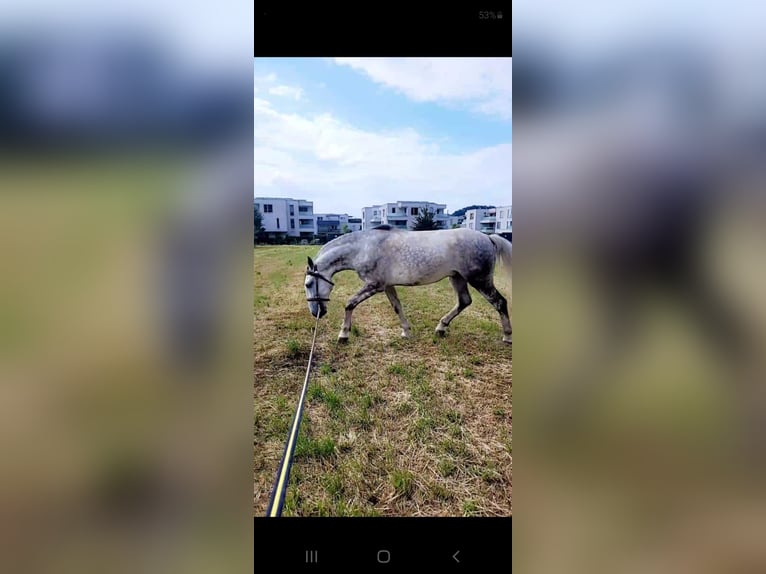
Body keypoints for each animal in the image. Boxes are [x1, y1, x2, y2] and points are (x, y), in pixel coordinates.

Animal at [304, 226, 512, 344]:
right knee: (464, 301)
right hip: (457, 277)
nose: (316, 313)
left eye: (308, 284)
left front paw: (343, 335)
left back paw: (507, 336)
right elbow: (397, 307)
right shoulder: (387, 285)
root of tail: (488, 238)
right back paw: (441, 328)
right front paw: (406, 332)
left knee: (500, 302)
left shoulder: (375, 285)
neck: (363, 248)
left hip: (480, 280)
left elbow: (350, 303)